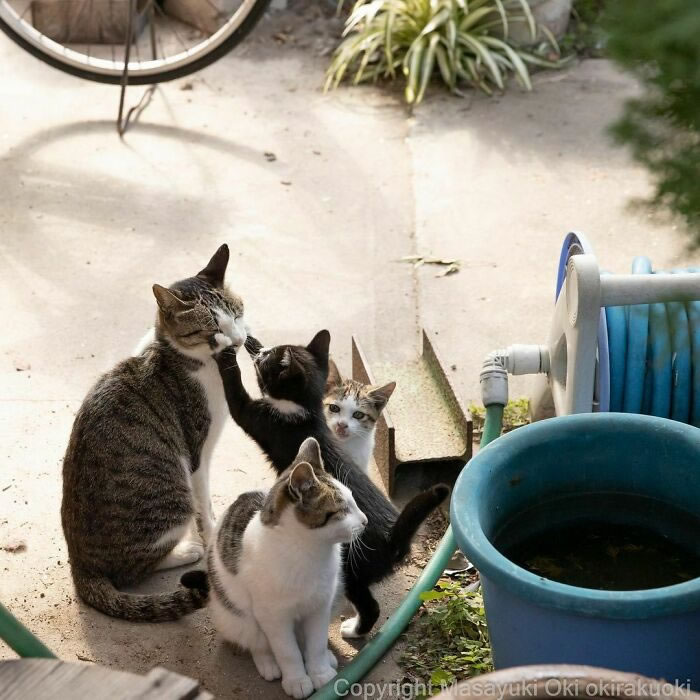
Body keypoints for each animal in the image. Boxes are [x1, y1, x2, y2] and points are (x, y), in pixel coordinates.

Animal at [60, 243, 247, 620]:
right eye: (212, 331)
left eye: (237, 315)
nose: (239, 339)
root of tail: (81, 565)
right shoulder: (197, 453)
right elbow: (204, 505)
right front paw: (212, 534)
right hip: (173, 496)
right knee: (135, 570)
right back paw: (186, 551)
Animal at [213, 330, 448, 636]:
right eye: (270, 351)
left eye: (268, 361)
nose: (262, 351)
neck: (306, 409)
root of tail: (393, 537)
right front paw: (248, 338)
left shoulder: (257, 417)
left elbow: (235, 395)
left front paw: (225, 354)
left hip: (352, 567)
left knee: (370, 606)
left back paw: (353, 629)